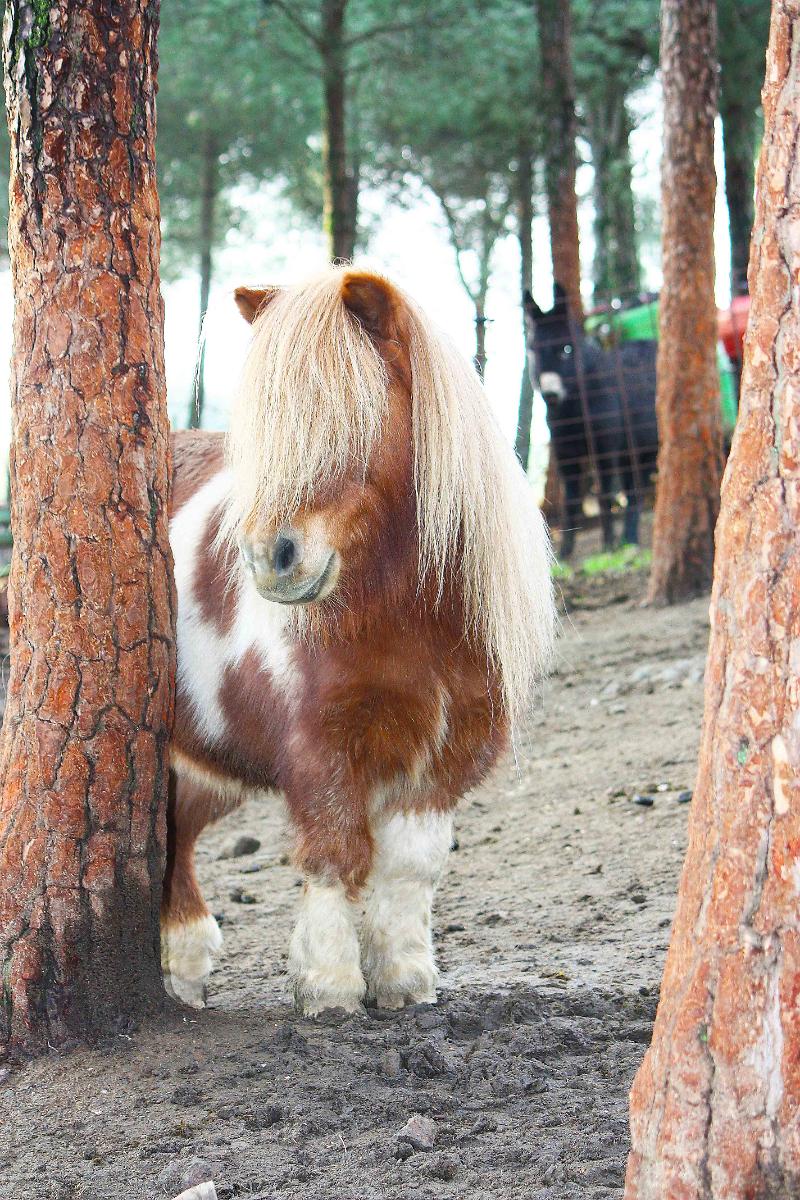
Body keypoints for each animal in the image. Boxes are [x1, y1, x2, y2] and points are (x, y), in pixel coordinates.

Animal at [159, 270, 554, 1012]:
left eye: (354, 416)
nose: (271, 558)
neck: (410, 623)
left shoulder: (445, 756)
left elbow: (409, 866)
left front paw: (404, 979)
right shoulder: (321, 750)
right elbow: (334, 855)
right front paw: (330, 987)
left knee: (178, 837)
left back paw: (186, 969)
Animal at [525, 283, 657, 559]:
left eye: (566, 349)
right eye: (533, 351)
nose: (551, 395)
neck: (575, 409)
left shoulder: (605, 447)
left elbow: (605, 496)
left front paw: (608, 546)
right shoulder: (565, 452)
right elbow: (571, 500)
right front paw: (565, 551)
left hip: (646, 448)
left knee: (635, 491)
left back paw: (629, 540)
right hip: (629, 451)